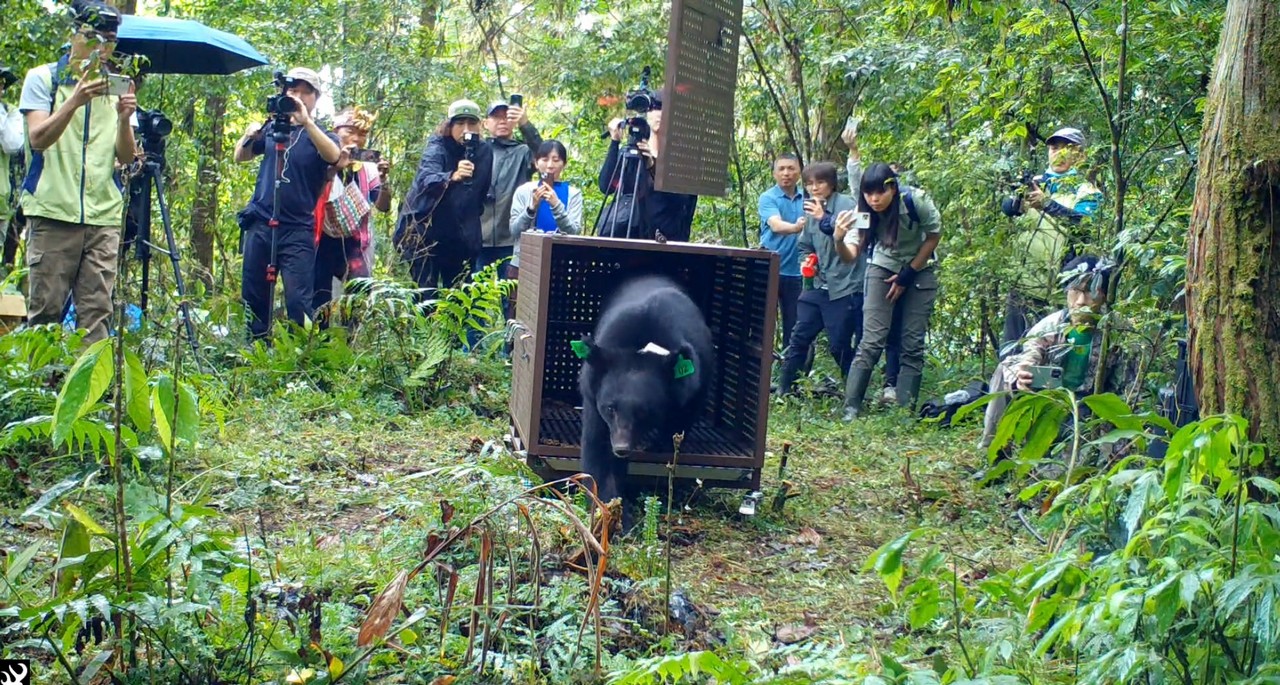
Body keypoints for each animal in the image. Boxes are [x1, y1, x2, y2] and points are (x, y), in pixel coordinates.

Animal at [576, 274, 716, 514]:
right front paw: (614, 514)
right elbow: (598, 452)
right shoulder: (593, 394)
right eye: (610, 408)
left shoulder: (692, 389)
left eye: (644, 412)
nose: (621, 448)